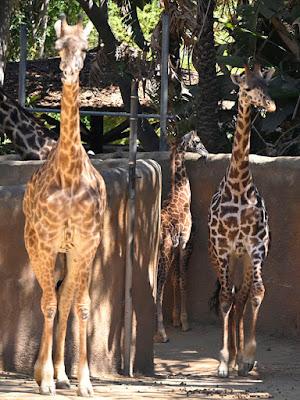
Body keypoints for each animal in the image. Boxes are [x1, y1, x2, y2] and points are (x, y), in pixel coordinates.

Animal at [155, 130, 209, 342]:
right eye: (198, 141)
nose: (206, 153)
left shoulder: (178, 246)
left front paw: (177, 319)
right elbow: (183, 280)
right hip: (164, 253)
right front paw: (185, 323)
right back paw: (161, 334)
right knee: (158, 286)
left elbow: (175, 279)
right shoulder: (184, 244)